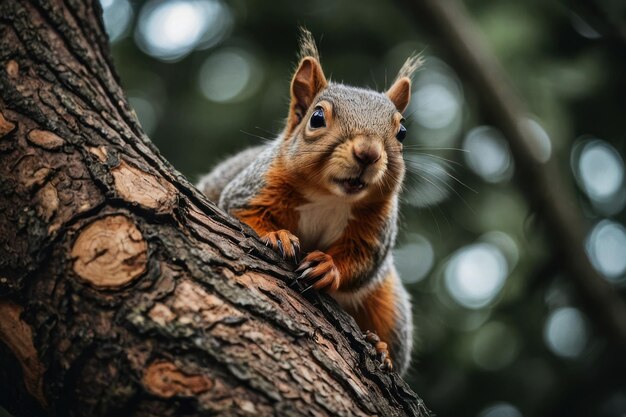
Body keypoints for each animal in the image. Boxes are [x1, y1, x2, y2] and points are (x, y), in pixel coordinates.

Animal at [196, 29, 420, 374]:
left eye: (403, 132)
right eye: (316, 118)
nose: (368, 153)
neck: (330, 197)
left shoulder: (375, 227)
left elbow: (362, 260)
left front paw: (328, 267)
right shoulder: (252, 189)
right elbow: (242, 213)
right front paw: (276, 235)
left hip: (389, 305)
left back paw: (380, 348)